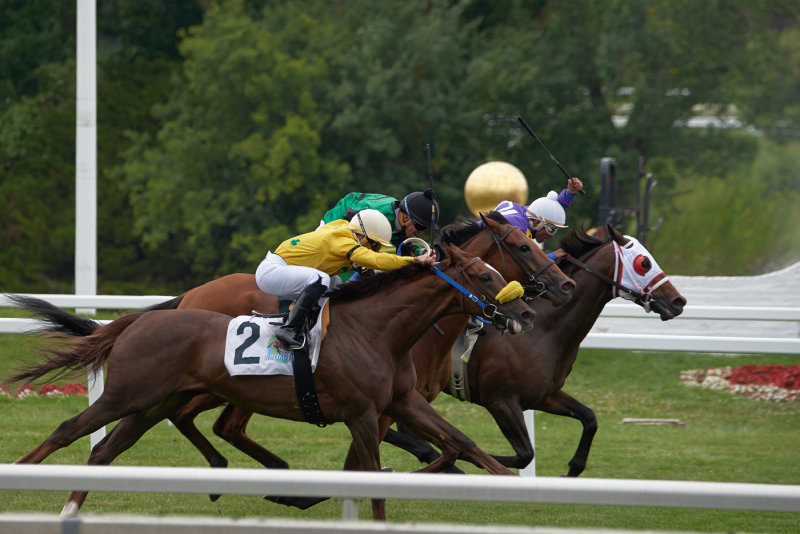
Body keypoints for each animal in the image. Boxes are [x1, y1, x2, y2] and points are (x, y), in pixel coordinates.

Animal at [9, 245, 536, 520]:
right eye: (484, 275)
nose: (527, 313)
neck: (377, 330)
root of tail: (141, 320)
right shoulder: (363, 413)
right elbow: (372, 480)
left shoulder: (404, 401)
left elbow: (463, 442)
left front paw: (513, 483)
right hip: (127, 393)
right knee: (68, 431)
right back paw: (19, 476)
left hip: (151, 404)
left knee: (103, 450)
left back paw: (71, 511)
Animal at [382, 225, 688, 478]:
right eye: (644, 262)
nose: (678, 301)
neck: (545, 330)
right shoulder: (501, 401)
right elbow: (522, 455)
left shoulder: (544, 395)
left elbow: (589, 418)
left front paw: (572, 469)